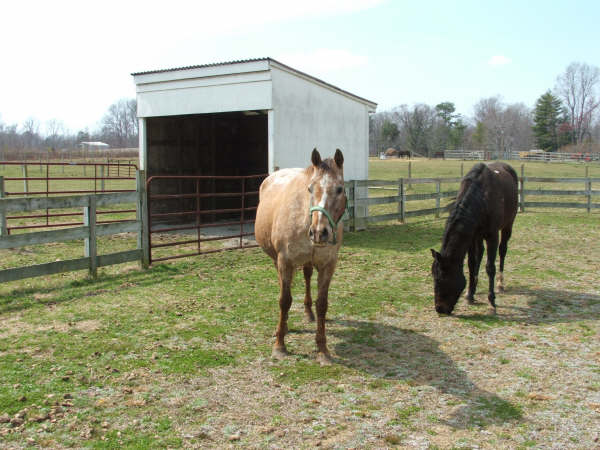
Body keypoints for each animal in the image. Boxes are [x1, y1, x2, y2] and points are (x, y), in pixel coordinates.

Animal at [254, 149, 346, 364]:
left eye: (339, 189)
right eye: (310, 189)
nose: (319, 232)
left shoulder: (328, 264)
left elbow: (322, 304)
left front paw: (322, 349)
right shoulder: (285, 261)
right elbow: (284, 300)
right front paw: (280, 345)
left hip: (308, 262)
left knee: (307, 277)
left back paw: (308, 313)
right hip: (276, 260)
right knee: (282, 286)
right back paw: (284, 326)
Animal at [428, 161, 516, 312]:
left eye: (442, 279)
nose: (440, 309)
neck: (481, 198)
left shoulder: (492, 236)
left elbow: (490, 267)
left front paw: (491, 302)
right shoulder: (471, 236)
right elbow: (471, 263)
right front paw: (469, 294)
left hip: (508, 226)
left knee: (503, 250)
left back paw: (500, 284)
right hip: (478, 236)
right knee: (479, 254)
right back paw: (474, 287)